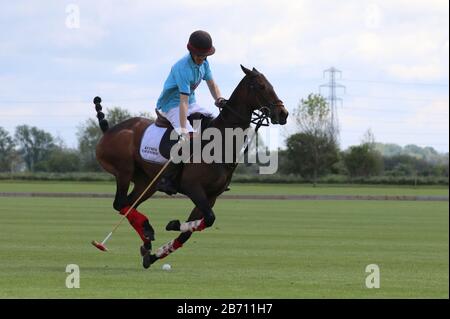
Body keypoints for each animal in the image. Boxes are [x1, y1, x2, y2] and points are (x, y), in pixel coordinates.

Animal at [95, 65, 290, 270]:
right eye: (261, 86)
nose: (283, 113)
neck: (220, 141)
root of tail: (109, 130)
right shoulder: (193, 188)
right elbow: (209, 219)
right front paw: (172, 225)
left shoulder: (211, 196)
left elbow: (190, 231)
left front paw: (154, 256)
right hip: (123, 171)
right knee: (119, 203)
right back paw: (146, 230)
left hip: (146, 182)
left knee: (127, 204)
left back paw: (146, 241)